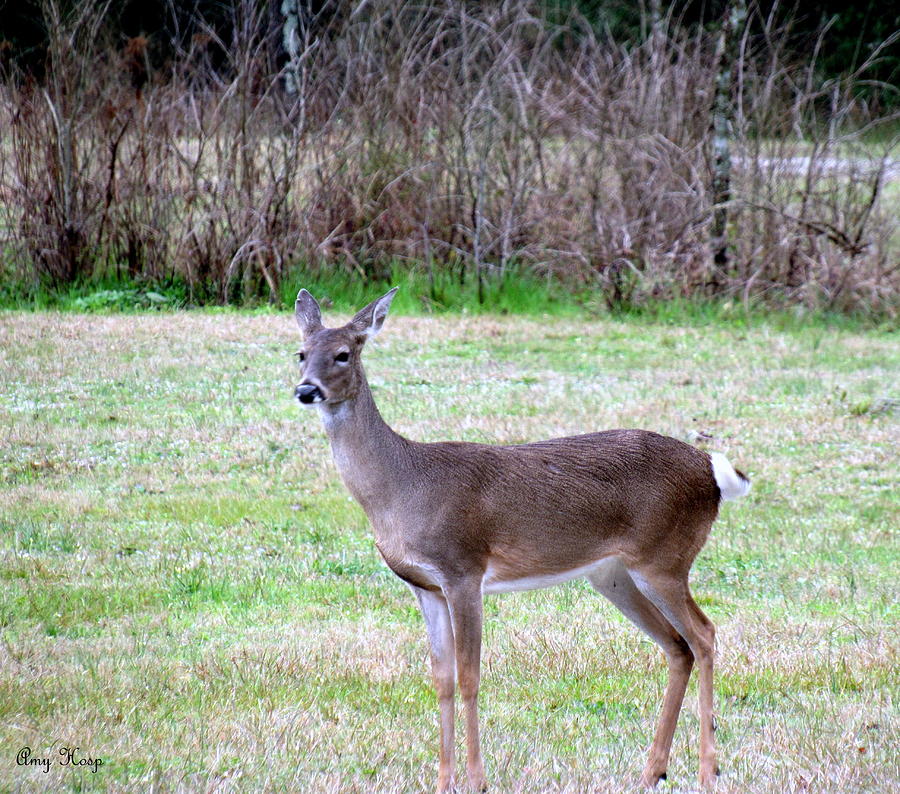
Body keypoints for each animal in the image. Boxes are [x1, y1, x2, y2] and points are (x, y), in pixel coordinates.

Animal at [292, 288, 748, 788]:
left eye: (343, 353)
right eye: (300, 353)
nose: (306, 390)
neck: (402, 487)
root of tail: (710, 471)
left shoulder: (464, 569)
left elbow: (470, 676)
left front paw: (477, 779)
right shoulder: (424, 586)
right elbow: (442, 679)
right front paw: (443, 781)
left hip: (664, 557)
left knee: (704, 634)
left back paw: (708, 769)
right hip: (614, 574)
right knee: (677, 646)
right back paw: (653, 771)